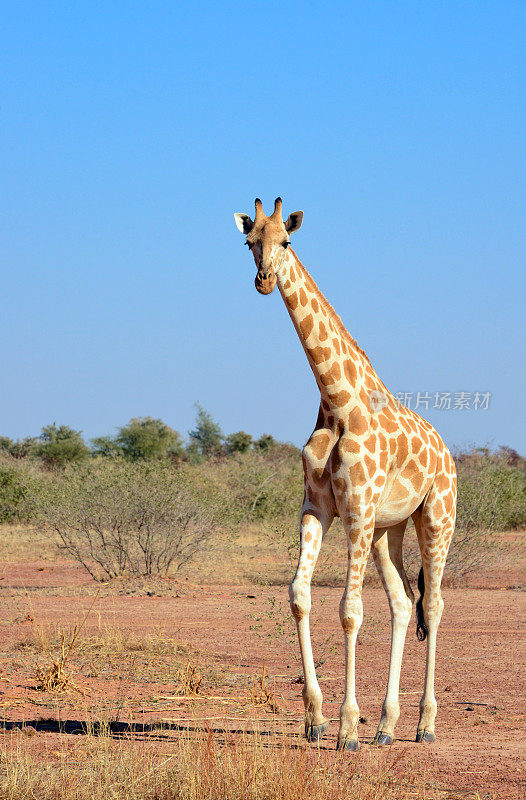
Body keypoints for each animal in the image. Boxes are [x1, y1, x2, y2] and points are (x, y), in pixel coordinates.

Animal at [235, 197, 458, 748]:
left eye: (287, 241)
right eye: (250, 243)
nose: (264, 279)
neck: (337, 401)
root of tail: (449, 454)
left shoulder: (356, 509)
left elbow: (350, 611)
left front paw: (347, 727)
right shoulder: (319, 507)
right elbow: (299, 597)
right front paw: (316, 718)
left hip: (436, 519)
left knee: (435, 605)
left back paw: (424, 724)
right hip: (387, 530)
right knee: (403, 603)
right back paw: (386, 725)